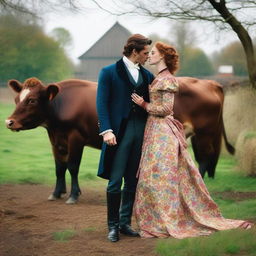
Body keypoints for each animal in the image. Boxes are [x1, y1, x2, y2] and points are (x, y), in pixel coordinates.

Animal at [5, 77, 234, 204]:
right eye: (17, 99)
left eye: (32, 100)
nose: (9, 121)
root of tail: (209, 82)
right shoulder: (56, 138)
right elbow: (59, 168)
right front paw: (56, 193)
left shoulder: (75, 138)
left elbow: (72, 166)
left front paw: (73, 195)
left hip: (204, 133)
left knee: (204, 158)